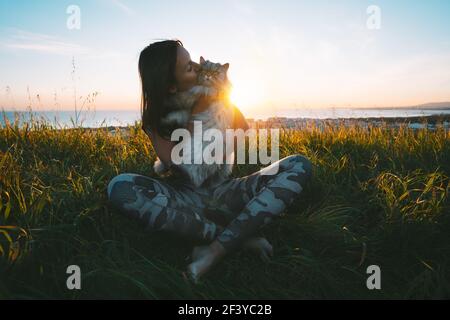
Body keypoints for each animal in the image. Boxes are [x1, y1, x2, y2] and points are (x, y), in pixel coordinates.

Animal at [153, 57, 234, 188]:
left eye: (215, 73)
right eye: (203, 70)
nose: (208, 75)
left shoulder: (190, 96)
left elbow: (174, 101)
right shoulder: (190, 104)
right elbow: (177, 111)